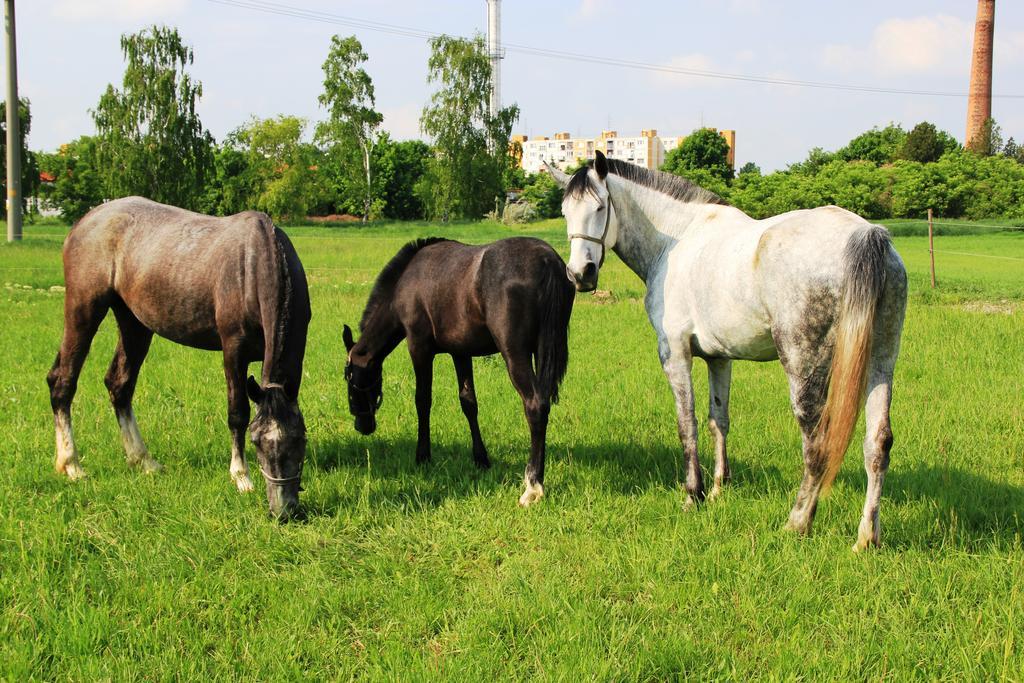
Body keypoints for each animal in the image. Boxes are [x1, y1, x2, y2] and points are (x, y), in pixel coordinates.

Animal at [47, 194, 311, 520]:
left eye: (300, 439)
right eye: (257, 442)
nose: (283, 510)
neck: (253, 264)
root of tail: (86, 220)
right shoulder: (233, 350)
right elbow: (237, 412)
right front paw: (241, 477)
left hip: (134, 323)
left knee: (119, 385)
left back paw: (143, 460)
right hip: (84, 309)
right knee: (63, 381)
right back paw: (71, 465)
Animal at [344, 237, 577, 505]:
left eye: (350, 382)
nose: (363, 426)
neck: (407, 278)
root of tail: (546, 259)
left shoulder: (419, 348)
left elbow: (422, 401)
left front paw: (422, 456)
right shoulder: (461, 353)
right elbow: (469, 403)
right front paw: (481, 459)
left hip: (515, 353)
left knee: (535, 405)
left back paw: (533, 486)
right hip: (542, 351)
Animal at [548, 153, 909, 548]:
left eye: (600, 207)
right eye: (565, 212)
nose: (580, 274)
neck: (676, 240)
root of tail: (865, 234)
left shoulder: (675, 353)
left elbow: (687, 424)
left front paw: (694, 494)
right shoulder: (719, 358)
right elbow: (717, 421)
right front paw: (720, 488)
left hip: (803, 365)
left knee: (816, 445)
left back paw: (797, 523)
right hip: (881, 362)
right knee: (878, 443)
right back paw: (867, 537)